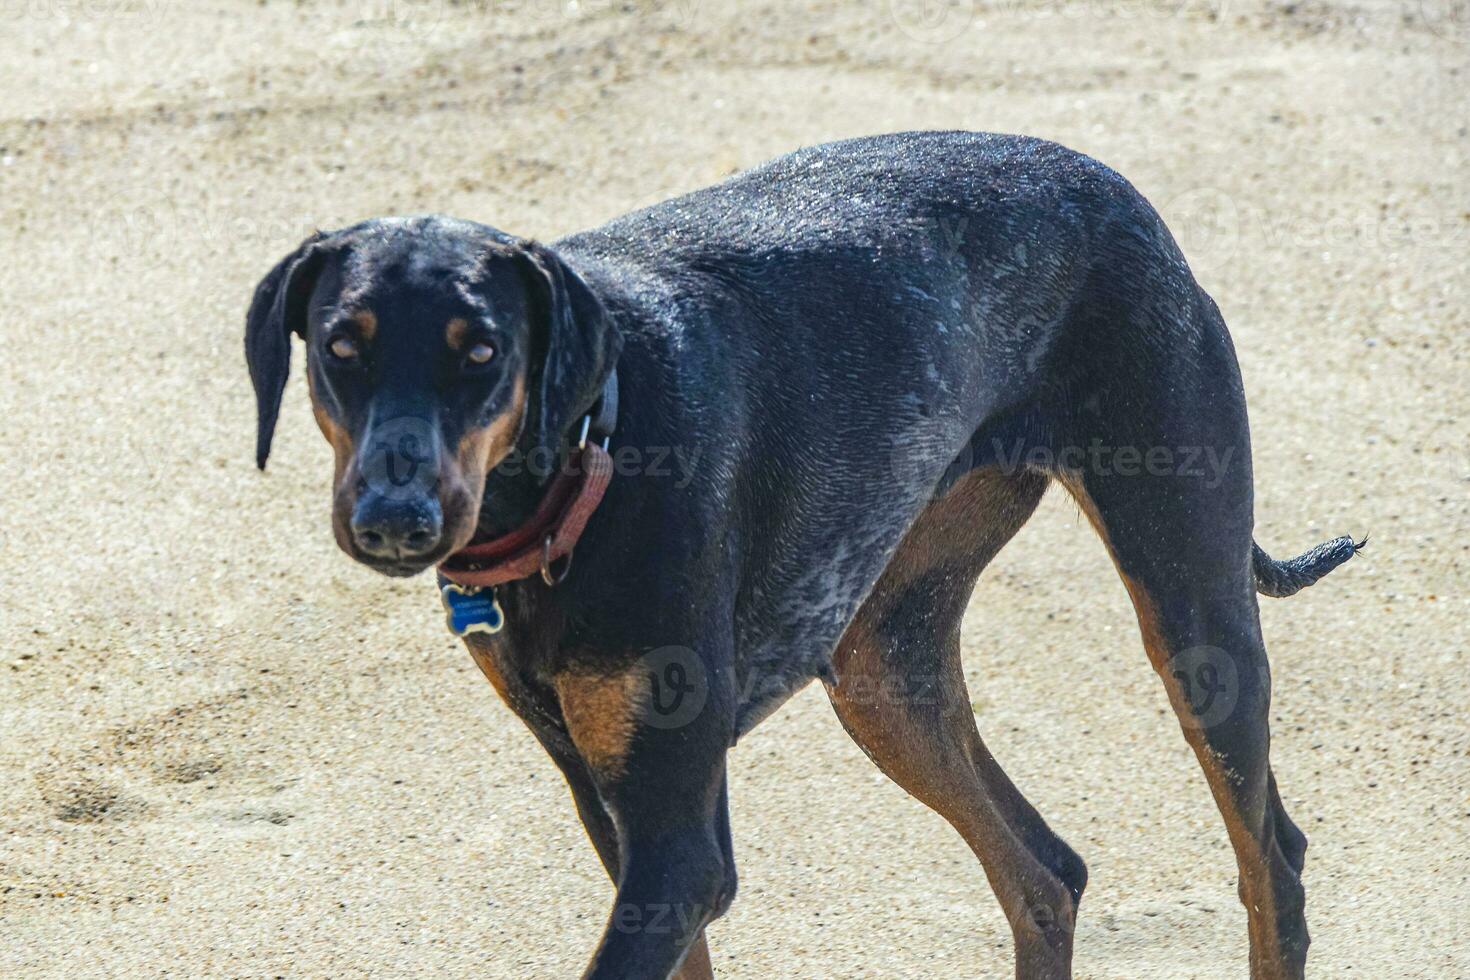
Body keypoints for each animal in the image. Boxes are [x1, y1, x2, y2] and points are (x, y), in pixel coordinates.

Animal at [241, 132, 1352, 980]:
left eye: (481, 350)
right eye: (341, 346)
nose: (394, 517)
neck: (594, 450)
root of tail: (1116, 187)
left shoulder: (679, 849)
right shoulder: (621, 816)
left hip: (1194, 616)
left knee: (1272, 860)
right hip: (881, 670)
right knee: (1046, 872)